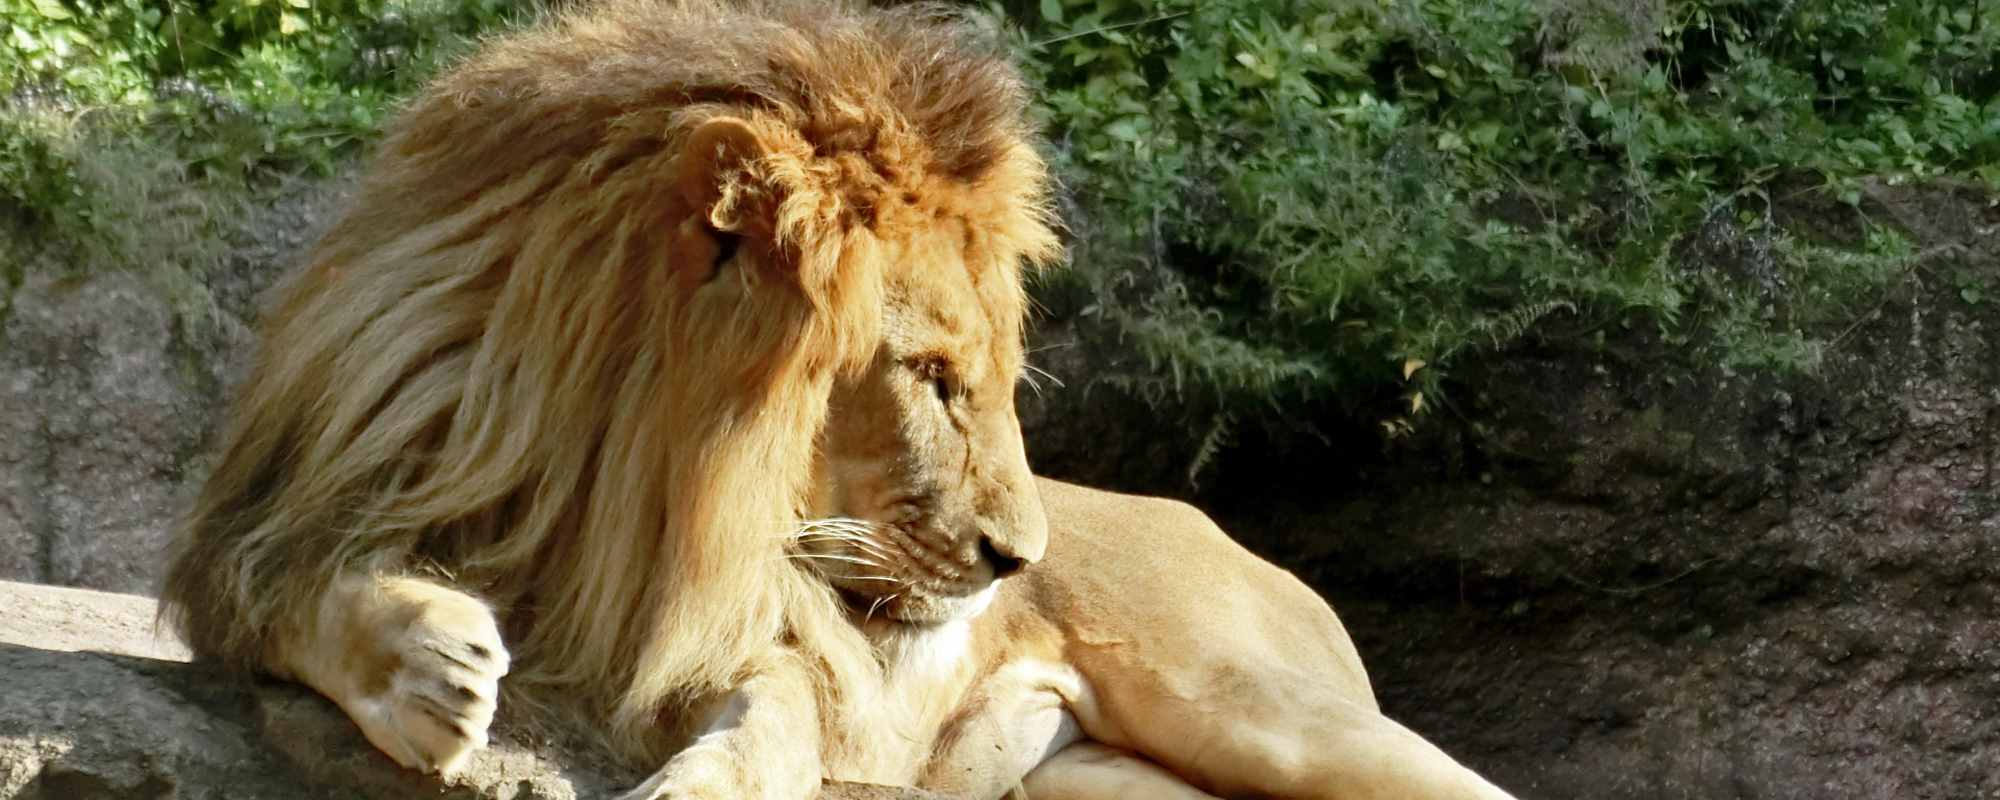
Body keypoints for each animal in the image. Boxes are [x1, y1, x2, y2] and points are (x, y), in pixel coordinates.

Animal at [168, 1, 1512, 800]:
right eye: (930, 377)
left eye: (992, 380)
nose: (1018, 560)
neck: (614, 472)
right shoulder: (282, 508)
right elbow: (293, 592)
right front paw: (428, 669)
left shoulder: (741, 632)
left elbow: (785, 709)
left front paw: (701, 781)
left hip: (1257, 705)